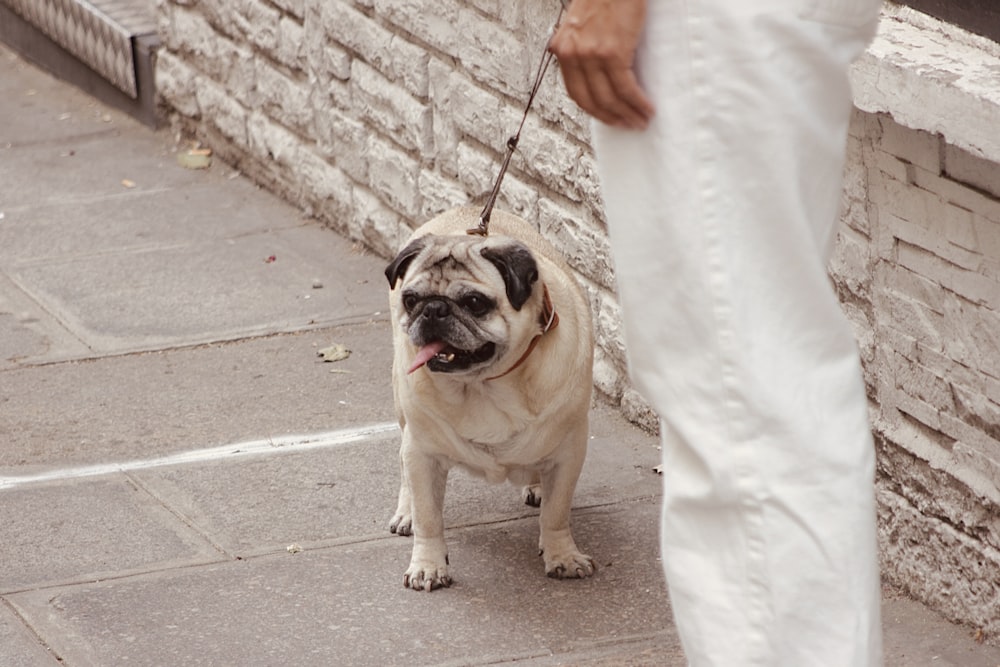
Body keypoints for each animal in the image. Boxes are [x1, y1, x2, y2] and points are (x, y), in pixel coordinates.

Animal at [382, 206, 592, 592]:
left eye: (475, 303)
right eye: (411, 299)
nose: (433, 309)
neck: (484, 385)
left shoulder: (569, 450)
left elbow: (556, 514)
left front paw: (563, 556)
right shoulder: (423, 452)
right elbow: (429, 517)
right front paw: (428, 566)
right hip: (404, 415)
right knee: (404, 467)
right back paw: (406, 512)